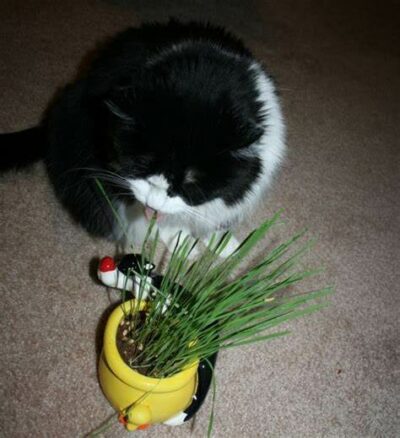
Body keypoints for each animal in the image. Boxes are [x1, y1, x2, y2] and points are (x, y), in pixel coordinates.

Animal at [1, 20, 286, 255]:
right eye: (139, 165)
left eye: (190, 182)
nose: (153, 200)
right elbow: (160, 222)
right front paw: (185, 246)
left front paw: (225, 245)